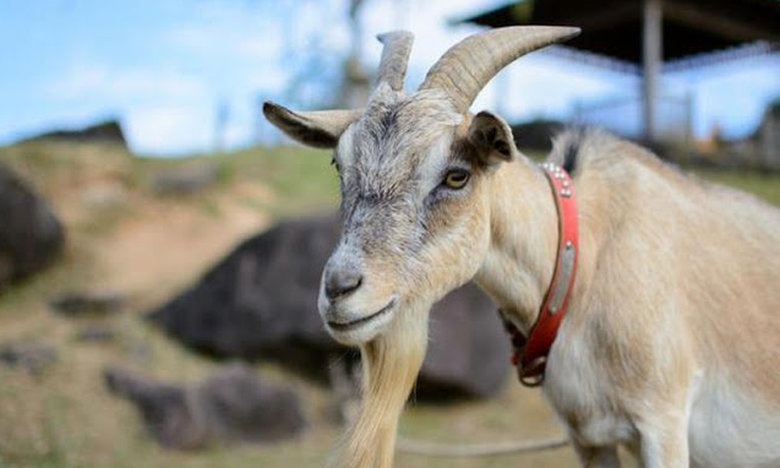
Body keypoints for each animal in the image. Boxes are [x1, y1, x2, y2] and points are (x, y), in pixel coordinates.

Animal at [264, 26, 780, 468]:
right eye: (339, 164)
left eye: (457, 175)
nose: (340, 288)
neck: (580, 259)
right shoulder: (589, 435)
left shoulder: (664, 421)